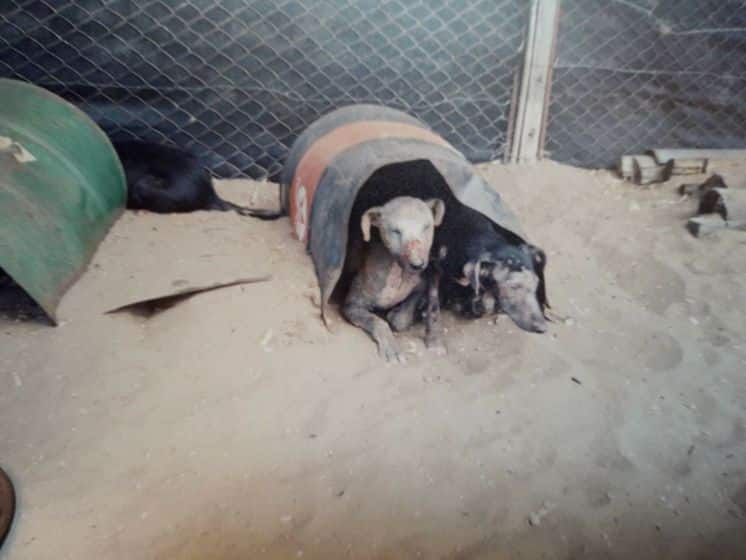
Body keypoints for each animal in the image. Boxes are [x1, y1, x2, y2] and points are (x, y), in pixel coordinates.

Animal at [342, 197, 442, 364]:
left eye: (426, 227)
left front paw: (396, 314)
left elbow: (401, 320)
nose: (418, 264)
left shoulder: (420, 285)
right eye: (395, 231)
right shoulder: (351, 304)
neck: (399, 274)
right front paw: (392, 348)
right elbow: (377, 321)